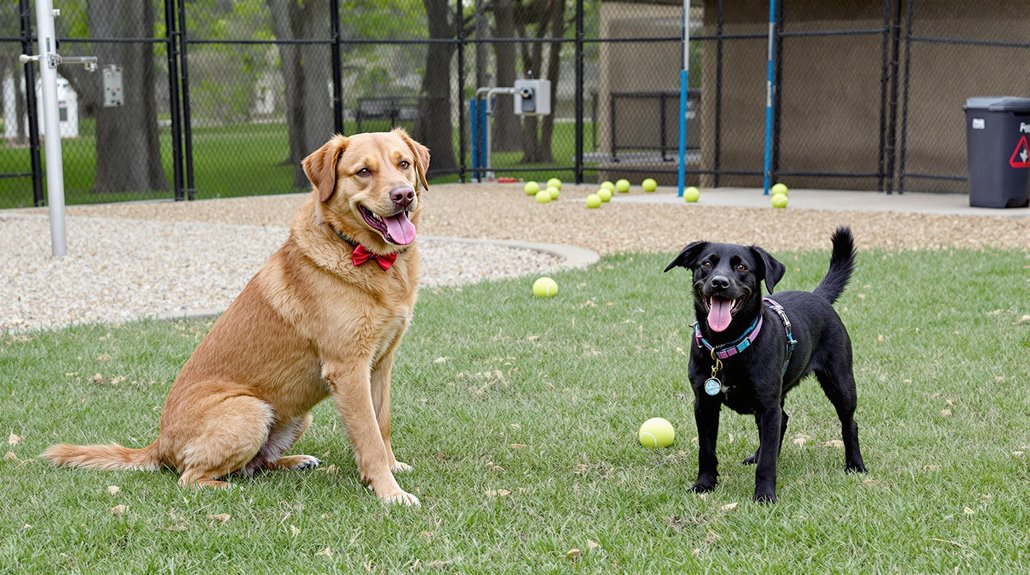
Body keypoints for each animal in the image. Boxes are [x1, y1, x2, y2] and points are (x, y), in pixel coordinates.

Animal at [44, 128, 428, 506]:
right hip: (250, 410)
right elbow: (369, 436)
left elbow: (382, 424)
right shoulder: (348, 369)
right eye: (363, 171)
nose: (404, 195)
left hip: (295, 415)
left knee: (258, 463)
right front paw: (389, 491)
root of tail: (160, 444)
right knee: (191, 477)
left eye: (403, 164)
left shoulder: (380, 364)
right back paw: (227, 488)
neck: (365, 256)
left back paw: (295, 461)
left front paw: (392, 467)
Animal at [663, 226, 865, 504]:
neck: (726, 347)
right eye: (706, 264)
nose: (719, 283)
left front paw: (765, 495)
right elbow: (706, 450)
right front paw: (704, 484)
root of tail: (818, 297)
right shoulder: (704, 404)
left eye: (741, 267)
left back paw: (855, 465)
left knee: (849, 424)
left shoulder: (768, 407)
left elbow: (768, 462)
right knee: (784, 420)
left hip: (840, 383)